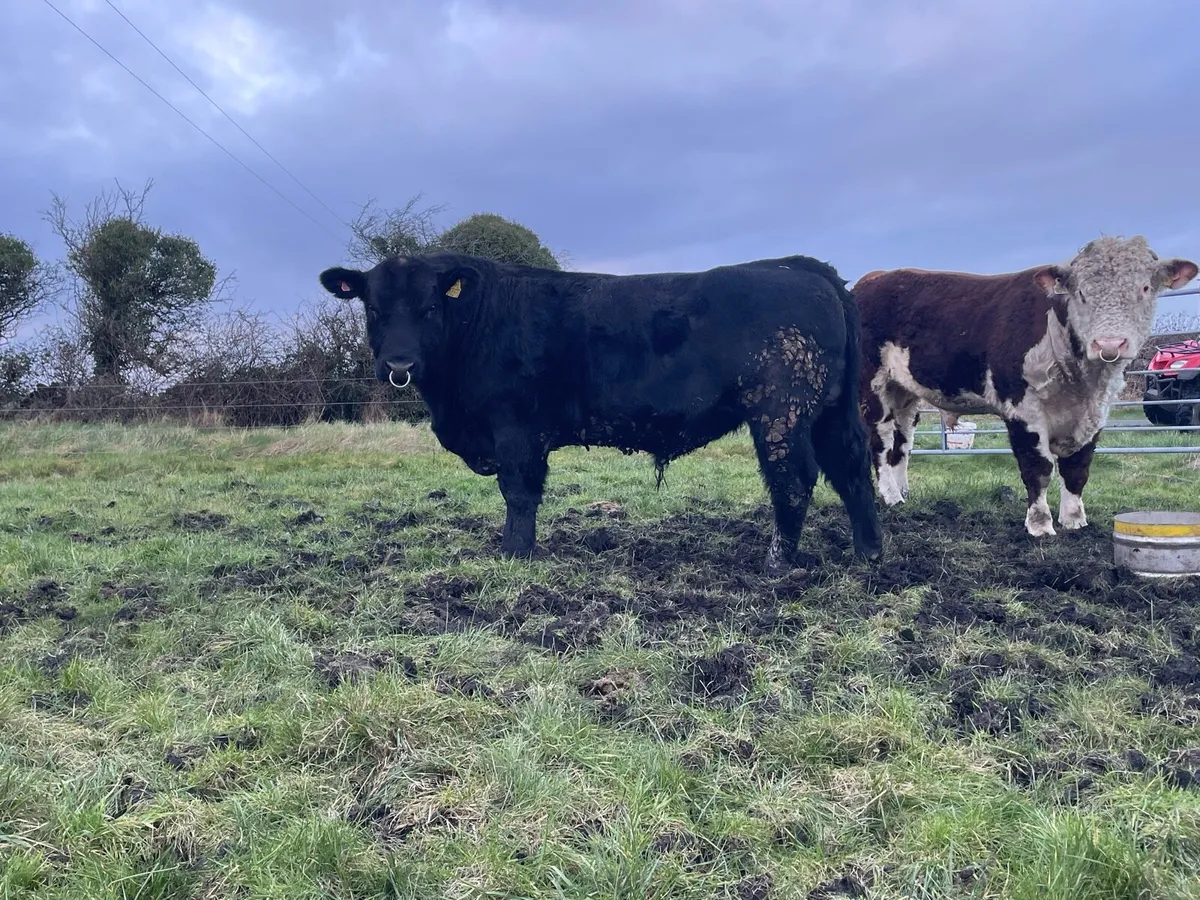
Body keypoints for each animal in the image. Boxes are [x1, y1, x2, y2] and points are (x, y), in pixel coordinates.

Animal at [318, 252, 884, 571]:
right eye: (373, 309)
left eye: (431, 307)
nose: (399, 364)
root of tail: (795, 266)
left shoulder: (515, 428)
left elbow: (518, 493)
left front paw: (514, 555)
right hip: (828, 413)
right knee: (852, 469)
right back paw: (869, 553)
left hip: (780, 414)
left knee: (794, 479)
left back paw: (776, 565)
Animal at [854, 236, 1198, 537]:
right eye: (1081, 293)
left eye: (1145, 288)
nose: (1109, 343)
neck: (1081, 382)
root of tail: (874, 277)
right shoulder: (1022, 408)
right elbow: (1038, 468)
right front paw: (1040, 525)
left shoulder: (1096, 413)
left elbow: (1077, 468)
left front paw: (1075, 521)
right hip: (874, 385)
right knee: (881, 442)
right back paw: (890, 496)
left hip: (905, 392)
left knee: (902, 442)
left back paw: (903, 494)